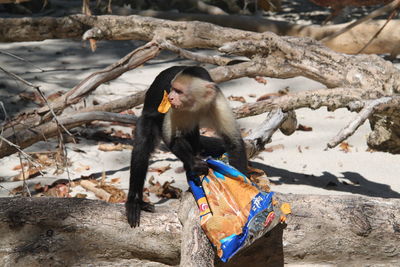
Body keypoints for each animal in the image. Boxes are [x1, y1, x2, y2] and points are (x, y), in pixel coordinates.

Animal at [126, 66, 248, 228]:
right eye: (172, 89)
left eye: (179, 91)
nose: (170, 97)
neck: (198, 105)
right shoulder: (175, 109)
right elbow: (172, 139)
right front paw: (195, 164)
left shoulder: (218, 103)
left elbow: (234, 143)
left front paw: (242, 185)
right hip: (148, 117)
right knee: (143, 146)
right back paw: (135, 202)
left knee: (195, 137)